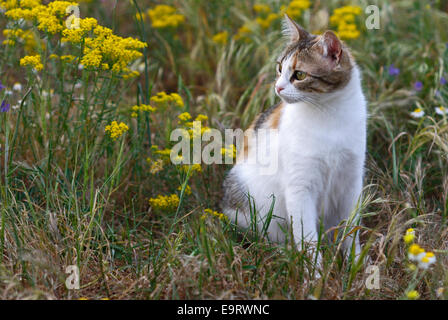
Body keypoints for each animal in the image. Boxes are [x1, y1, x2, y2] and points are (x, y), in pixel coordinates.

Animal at [221, 15, 368, 264]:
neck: (328, 114)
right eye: (280, 68)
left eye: (299, 74)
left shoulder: (351, 180)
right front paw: (314, 271)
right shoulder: (299, 187)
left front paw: (356, 263)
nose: (278, 87)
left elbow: (351, 228)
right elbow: (306, 237)